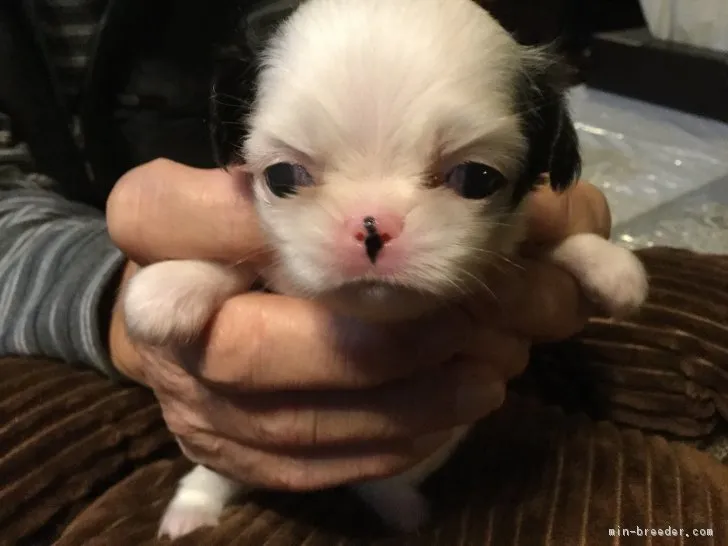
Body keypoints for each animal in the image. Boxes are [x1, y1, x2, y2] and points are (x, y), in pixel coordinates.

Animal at [122, 0, 652, 536]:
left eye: (477, 179)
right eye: (281, 177)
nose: (373, 226)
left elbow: (540, 244)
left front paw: (606, 263)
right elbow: (245, 261)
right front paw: (169, 289)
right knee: (220, 470)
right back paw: (194, 507)